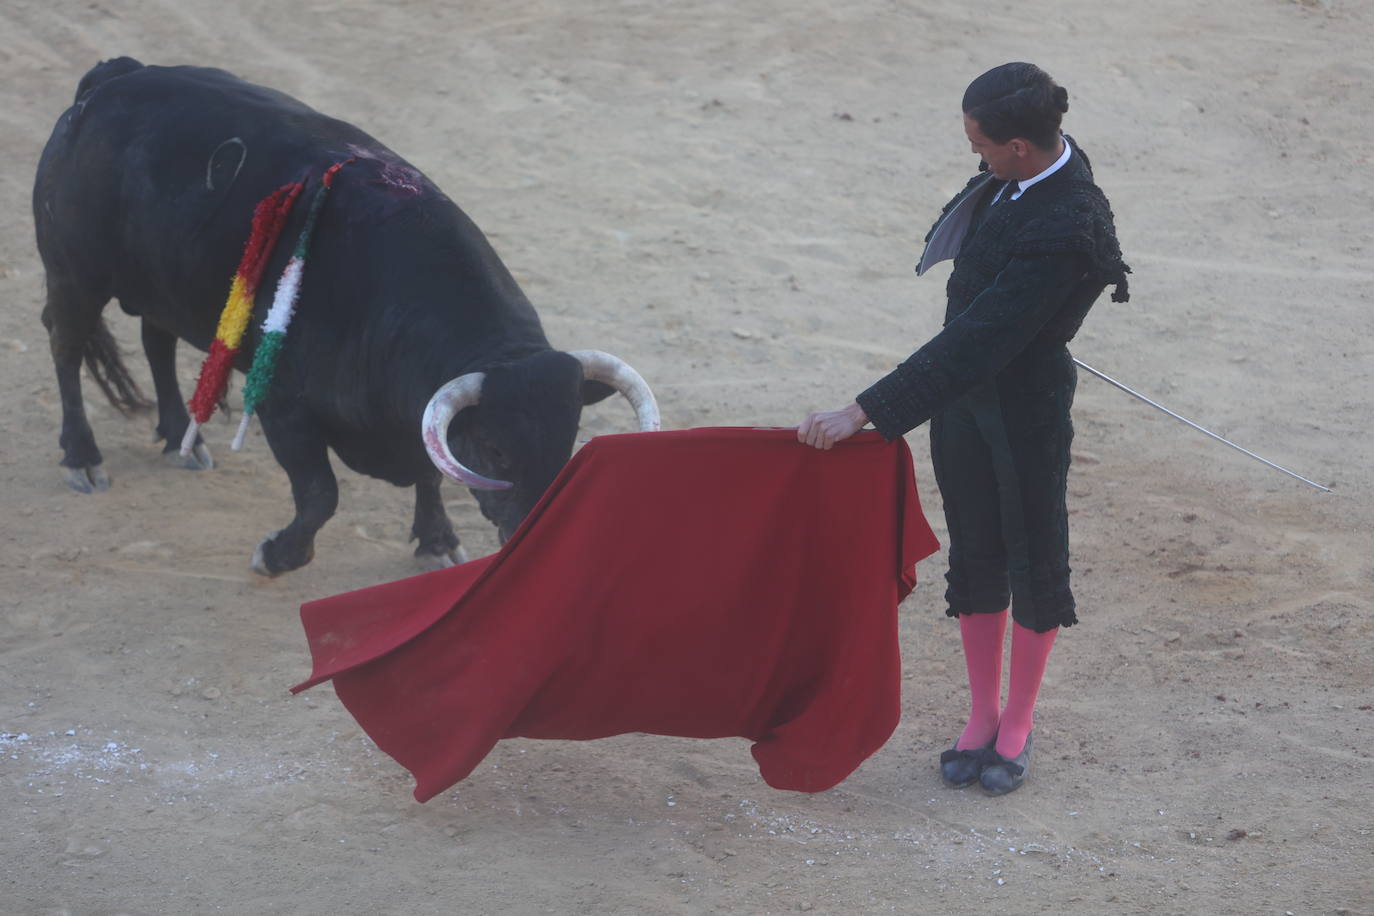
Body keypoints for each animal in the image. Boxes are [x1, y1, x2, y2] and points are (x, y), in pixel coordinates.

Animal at [30, 59, 654, 574]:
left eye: (569, 442)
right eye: (498, 450)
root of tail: (115, 77)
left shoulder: (417, 415)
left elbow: (430, 470)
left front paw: (437, 541)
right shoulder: (285, 407)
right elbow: (320, 494)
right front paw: (278, 555)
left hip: (160, 282)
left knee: (155, 339)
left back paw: (178, 435)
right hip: (74, 274)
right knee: (66, 348)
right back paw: (83, 458)